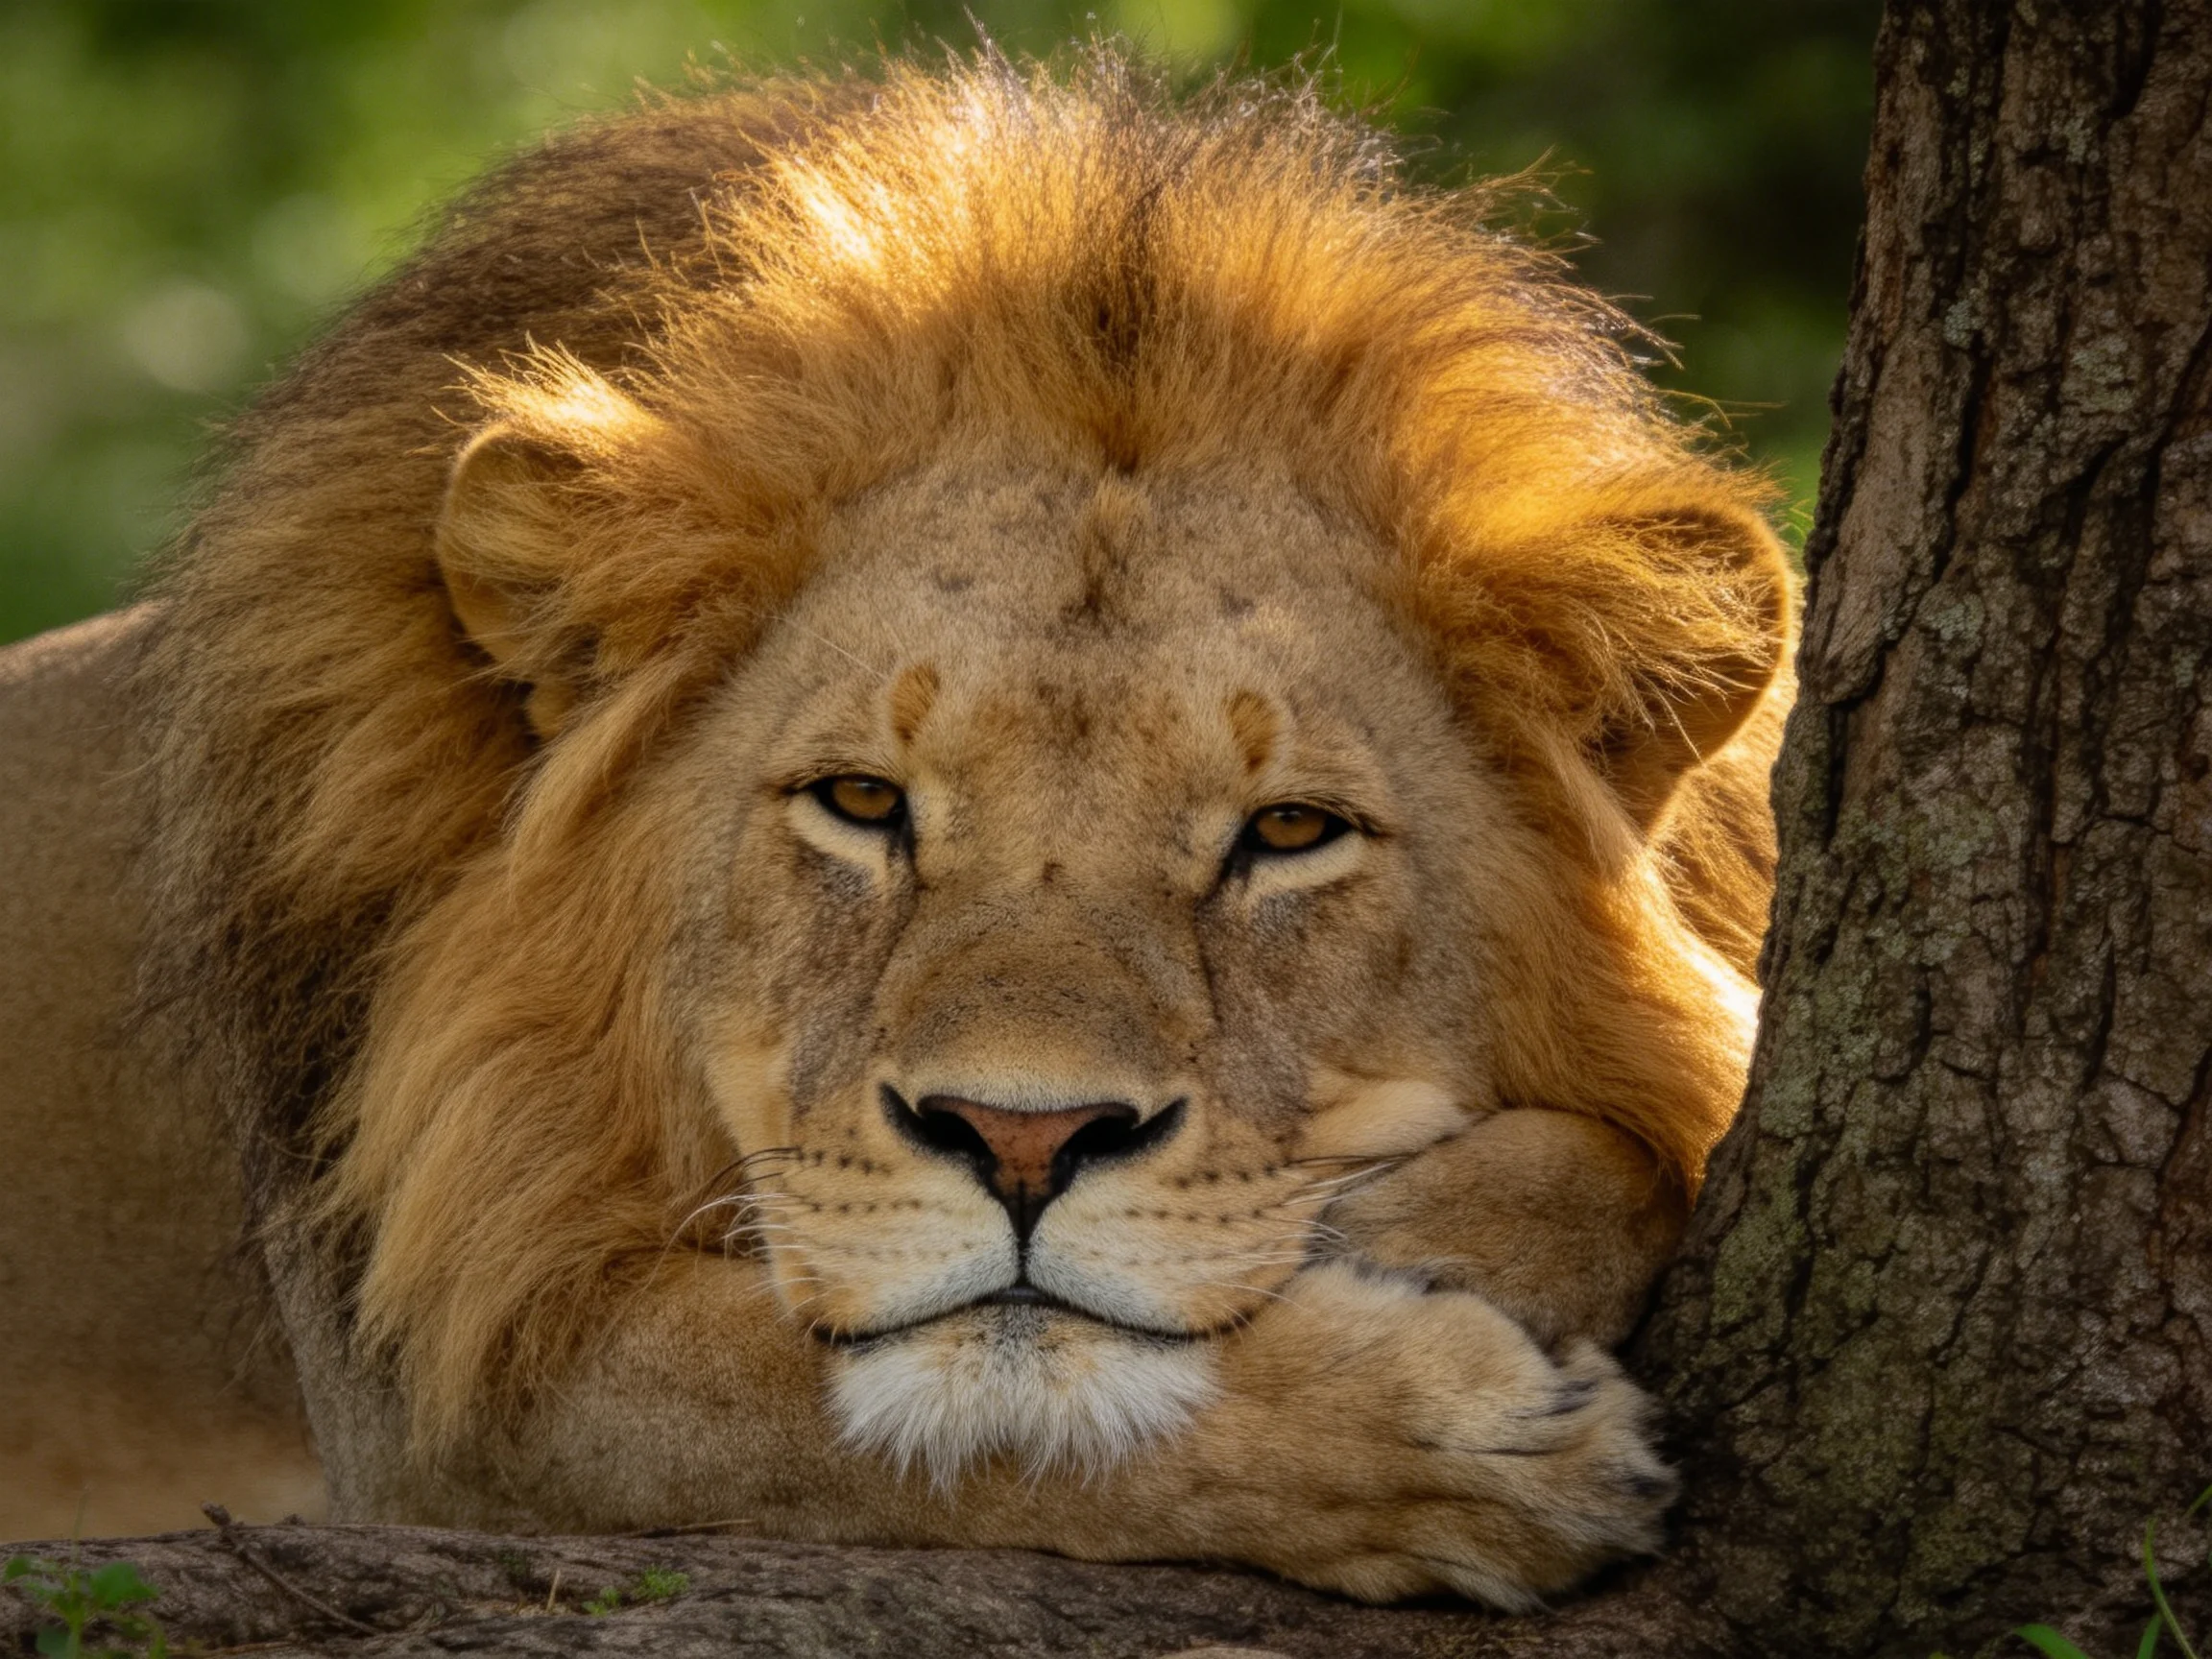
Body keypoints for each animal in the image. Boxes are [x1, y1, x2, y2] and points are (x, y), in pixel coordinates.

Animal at [0, 50, 1791, 1607]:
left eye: (1287, 832)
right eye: (862, 801)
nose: (1021, 1141)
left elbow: (1648, 1138)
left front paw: (1397, 1233)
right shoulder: (445, 1393)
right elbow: (874, 1411)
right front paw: (1463, 1434)